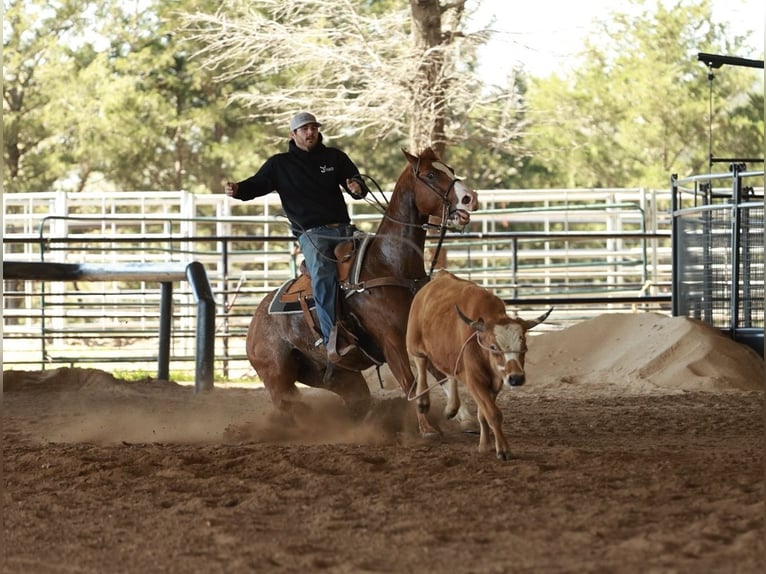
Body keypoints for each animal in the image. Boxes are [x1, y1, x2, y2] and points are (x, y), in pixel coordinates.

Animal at [245, 147, 479, 429]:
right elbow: (410, 384)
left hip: (339, 376)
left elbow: (439, 375)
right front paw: (427, 429)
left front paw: (465, 417)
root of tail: (254, 321)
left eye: (450, 170)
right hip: (277, 376)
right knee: (290, 404)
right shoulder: (390, 341)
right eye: (430, 175)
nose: (470, 198)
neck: (389, 263)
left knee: (355, 400)